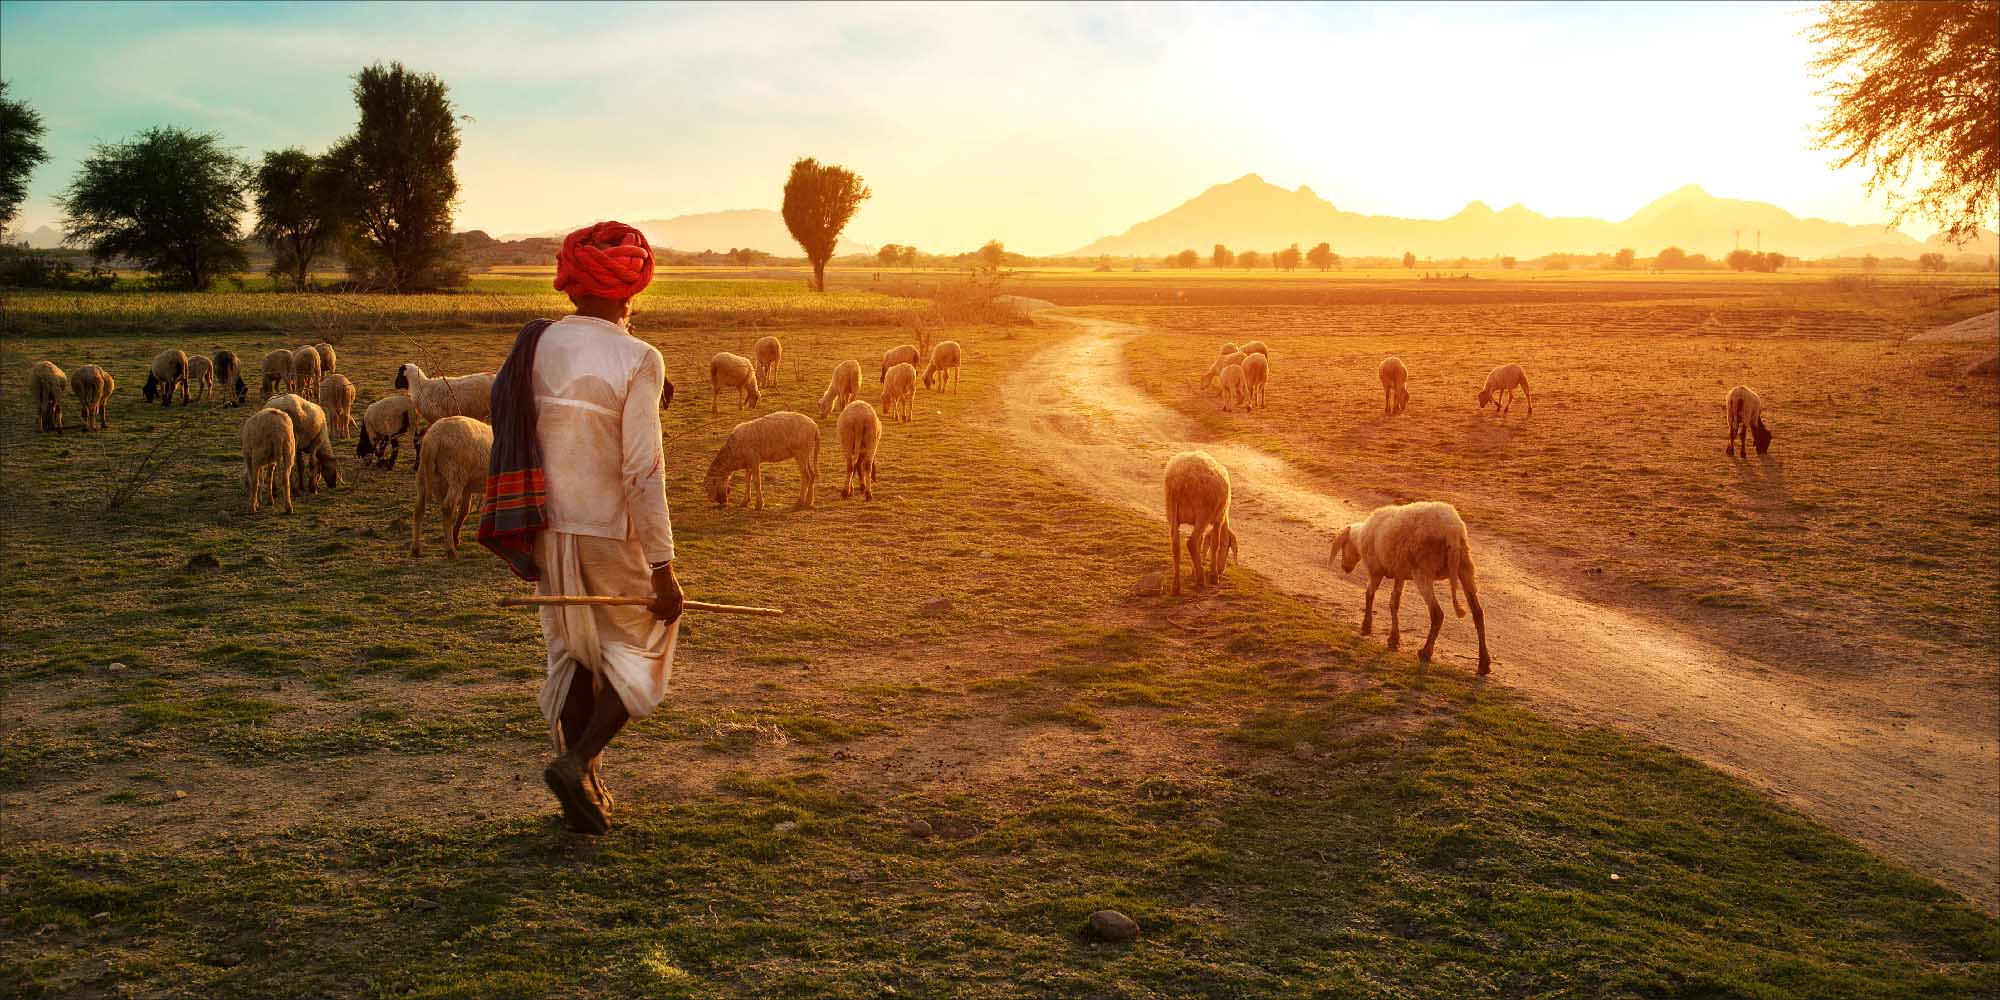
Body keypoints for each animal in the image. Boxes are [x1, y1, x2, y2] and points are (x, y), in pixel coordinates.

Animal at [410, 412, 492, 556]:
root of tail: (434, 439)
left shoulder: (467, 488)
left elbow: (465, 510)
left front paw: (456, 537)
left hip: (422, 475)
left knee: (418, 508)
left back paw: (416, 548)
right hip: (455, 475)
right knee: (447, 507)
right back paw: (450, 550)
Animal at [1160, 452, 1232, 592]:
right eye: (1227, 550)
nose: (1222, 570)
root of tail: (1179, 481)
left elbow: (1200, 543)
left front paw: (1194, 571)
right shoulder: (1218, 519)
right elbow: (1214, 544)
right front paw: (1213, 576)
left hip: (1171, 510)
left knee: (1176, 545)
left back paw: (1176, 586)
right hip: (1203, 513)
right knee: (1191, 543)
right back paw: (1200, 580)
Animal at [1328, 504, 1488, 676]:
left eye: (1343, 545)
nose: (1345, 567)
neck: (1359, 539)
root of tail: (1452, 530)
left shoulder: (1376, 570)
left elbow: (1369, 594)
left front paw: (1366, 627)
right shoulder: (1400, 573)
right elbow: (1394, 603)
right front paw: (1393, 639)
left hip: (1423, 570)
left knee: (1437, 613)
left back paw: (1425, 653)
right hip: (1465, 566)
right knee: (1478, 613)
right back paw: (1484, 664)